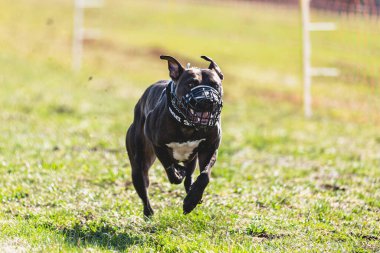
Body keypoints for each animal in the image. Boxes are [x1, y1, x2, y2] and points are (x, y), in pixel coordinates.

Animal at [126, 54, 224, 215]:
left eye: (215, 85)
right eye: (190, 84)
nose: (208, 100)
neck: (188, 125)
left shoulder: (209, 149)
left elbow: (204, 176)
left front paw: (191, 201)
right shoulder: (157, 144)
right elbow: (169, 164)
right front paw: (177, 175)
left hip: (191, 159)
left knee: (189, 176)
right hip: (139, 165)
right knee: (144, 188)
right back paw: (149, 212)